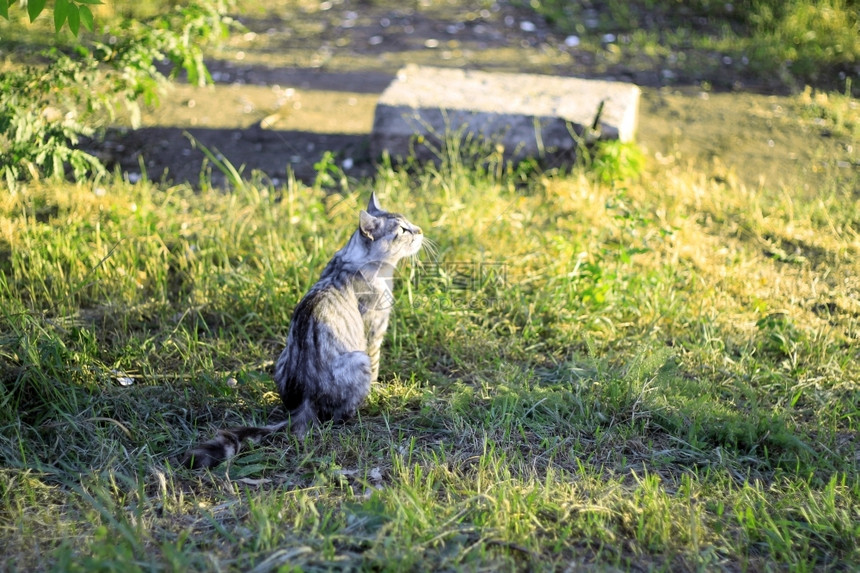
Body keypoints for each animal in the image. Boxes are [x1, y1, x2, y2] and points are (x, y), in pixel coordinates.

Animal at [181, 192, 424, 470]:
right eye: (403, 230)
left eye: (410, 223)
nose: (420, 230)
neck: (353, 260)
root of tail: (305, 403)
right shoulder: (373, 334)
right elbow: (376, 368)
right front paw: (378, 389)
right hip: (357, 358)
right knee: (340, 415)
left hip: (282, 358)